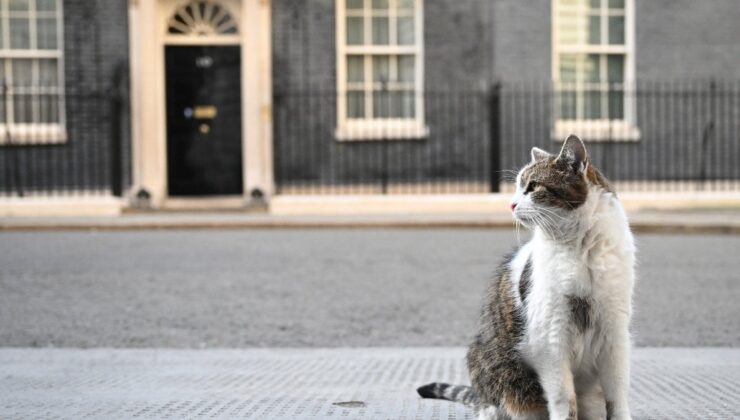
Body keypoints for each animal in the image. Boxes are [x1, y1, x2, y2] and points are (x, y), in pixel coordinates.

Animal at [416, 135, 636, 420]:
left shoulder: (614, 331)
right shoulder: (551, 337)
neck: (581, 249)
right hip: (499, 375)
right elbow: (564, 399)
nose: (511, 204)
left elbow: (617, 393)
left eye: (532, 187)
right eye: (518, 188)